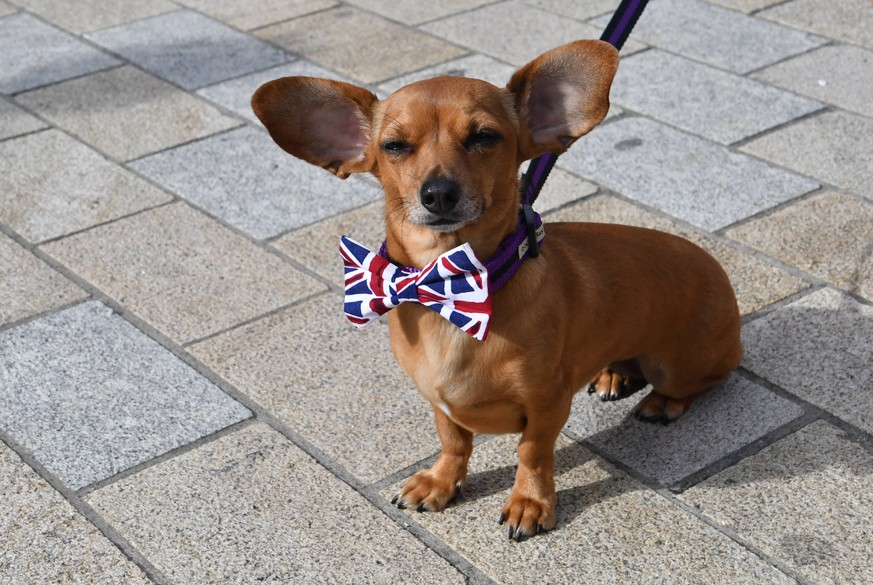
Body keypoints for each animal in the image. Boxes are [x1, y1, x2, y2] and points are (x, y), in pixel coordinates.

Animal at [252, 41, 744, 540]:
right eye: (394, 146)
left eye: (484, 137)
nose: (438, 193)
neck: (450, 290)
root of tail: (714, 267)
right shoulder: (439, 402)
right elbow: (453, 441)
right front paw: (441, 482)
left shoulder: (547, 405)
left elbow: (532, 452)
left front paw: (530, 501)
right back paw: (613, 374)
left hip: (680, 366)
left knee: (704, 381)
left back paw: (662, 402)